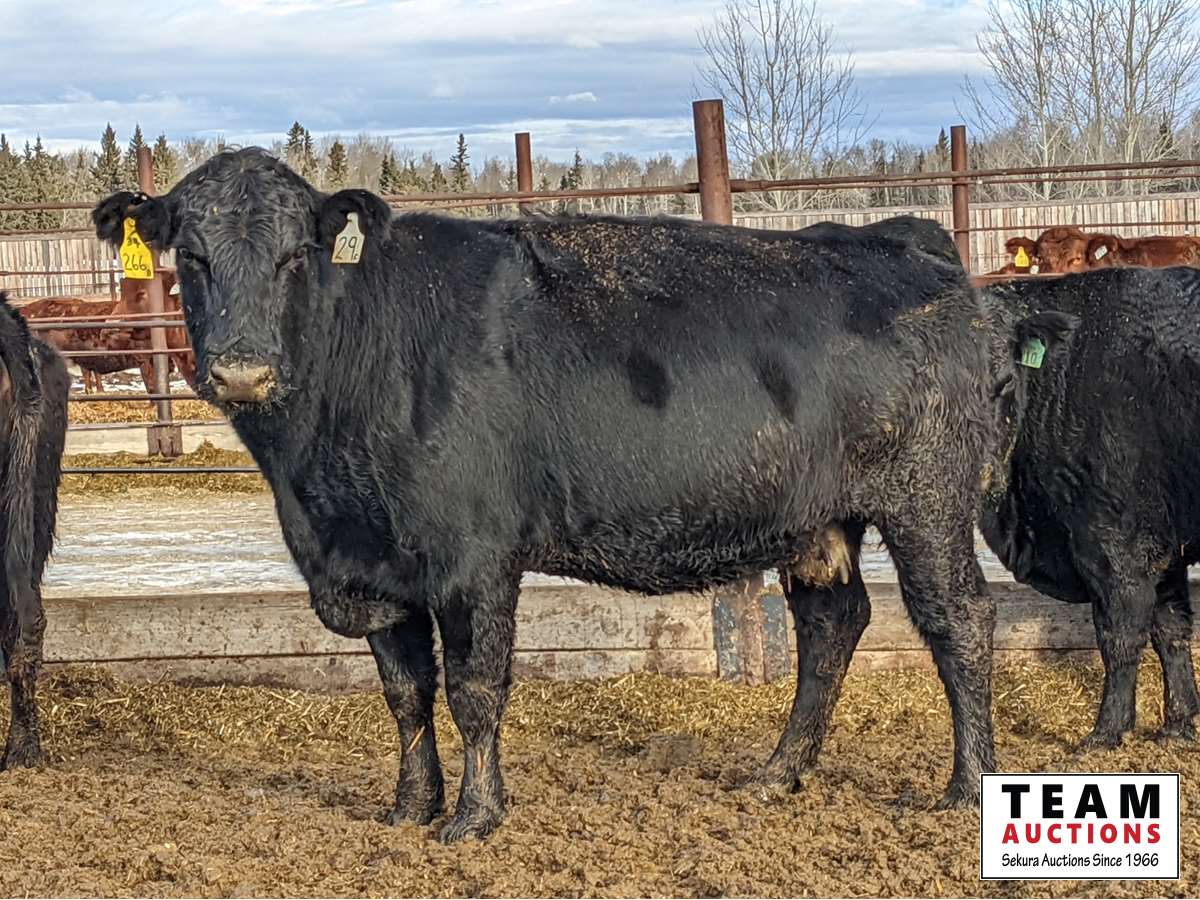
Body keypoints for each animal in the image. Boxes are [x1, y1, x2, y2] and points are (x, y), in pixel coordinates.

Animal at [93, 149, 1068, 841]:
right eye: (190, 255)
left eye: (298, 254)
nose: (242, 369)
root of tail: (910, 244)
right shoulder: (374, 565)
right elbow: (404, 692)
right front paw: (409, 807)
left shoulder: (473, 558)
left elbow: (474, 688)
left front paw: (474, 817)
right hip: (818, 519)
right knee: (832, 626)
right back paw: (777, 773)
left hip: (925, 503)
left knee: (958, 621)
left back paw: (964, 787)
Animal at [981, 266, 1200, 746]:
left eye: (1003, 378)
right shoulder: (1164, 544)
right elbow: (1171, 629)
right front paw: (1179, 725)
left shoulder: (1115, 539)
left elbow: (1119, 634)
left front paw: (1106, 732)